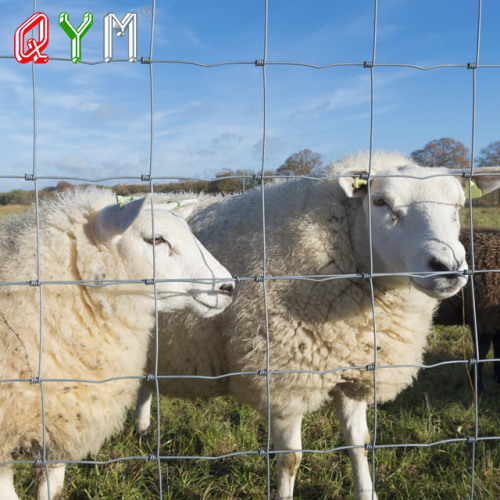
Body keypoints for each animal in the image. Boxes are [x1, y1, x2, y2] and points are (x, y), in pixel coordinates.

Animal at [134, 150, 500, 498]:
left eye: (458, 205)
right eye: (380, 202)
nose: (448, 266)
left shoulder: (354, 370)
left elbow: (359, 444)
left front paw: (367, 492)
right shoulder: (283, 379)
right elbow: (290, 459)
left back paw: (141, 426)